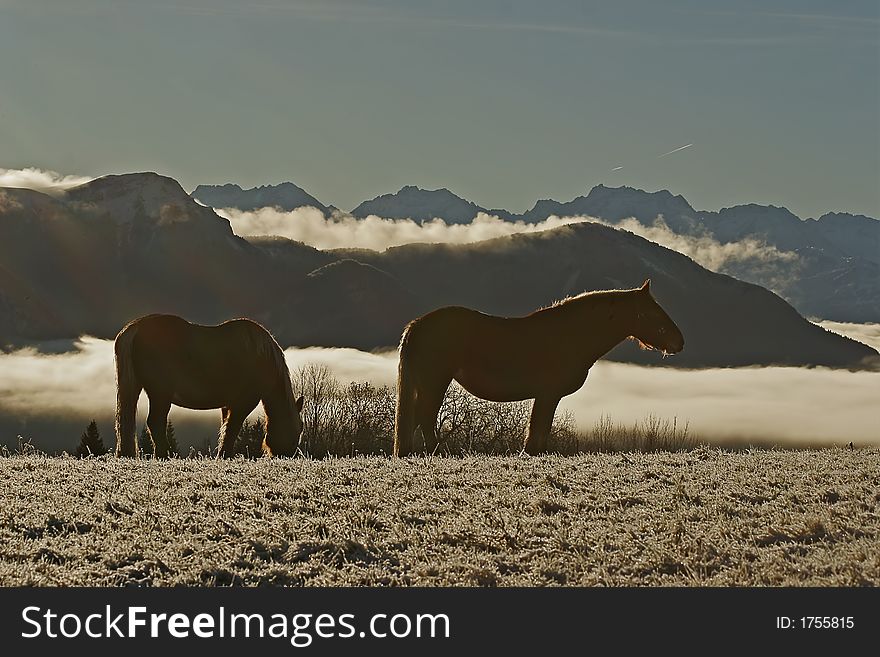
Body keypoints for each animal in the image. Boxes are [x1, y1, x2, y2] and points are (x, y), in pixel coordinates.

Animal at [113, 316, 306, 458]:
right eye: (298, 428)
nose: (288, 455)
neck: (262, 357)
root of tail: (135, 329)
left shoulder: (228, 403)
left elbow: (225, 426)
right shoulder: (244, 402)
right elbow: (232, 427)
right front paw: (225, 455)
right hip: (160, 394)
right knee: (155, 422)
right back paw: (164, 455)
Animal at [394, 280, 688, 456]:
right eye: (651, 313)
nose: (679, 342)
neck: (571, 335)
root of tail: (416, 326)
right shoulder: (548, 395)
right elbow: (539, 431)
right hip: (436, 381)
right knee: (425, 417)